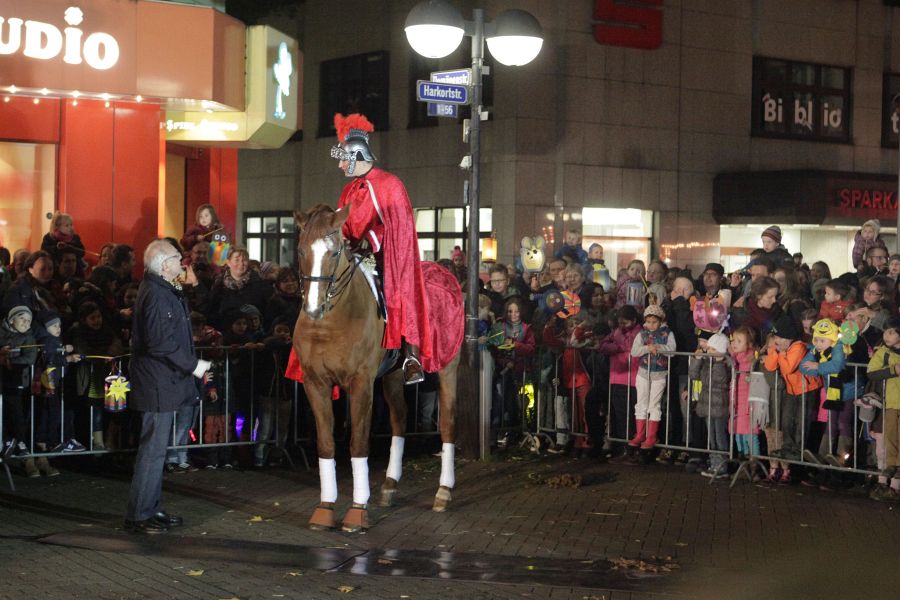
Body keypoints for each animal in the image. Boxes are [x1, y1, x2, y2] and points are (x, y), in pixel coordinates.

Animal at [292, 204, 462, 532]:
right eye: (300, 249)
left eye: (334, 252)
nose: (314, 309)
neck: (332, 323)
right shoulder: (315, 384)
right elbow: (326, 444)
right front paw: (325, 508)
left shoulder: (361, 383)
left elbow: (358, 442)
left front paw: (357, 510)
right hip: (393, 376)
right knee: (400, 420)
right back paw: (390, 485)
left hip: (448, 367)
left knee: (447, 423)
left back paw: (444, 492)